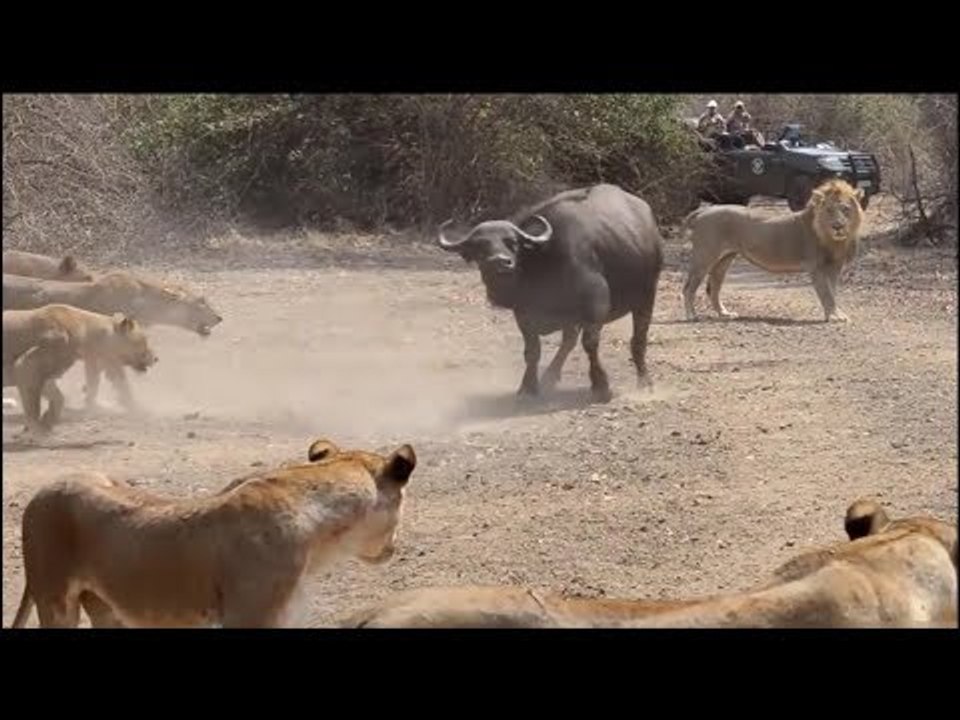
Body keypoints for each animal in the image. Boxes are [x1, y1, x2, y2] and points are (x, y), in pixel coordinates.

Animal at [3, 304, 158, 433]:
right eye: (144, 341)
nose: (156, 358)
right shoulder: (27, 366)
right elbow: (34, 405)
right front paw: (37, 430)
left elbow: (60, 398)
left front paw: (47, 421)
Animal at [4, 270, 221, 409]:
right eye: (201, 301)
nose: (220, 318)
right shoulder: (108, 352)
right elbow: (117, 380)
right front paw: (133, 405)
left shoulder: (97, 353)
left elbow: (95, 378)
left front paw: (90, 399)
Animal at [438, 183, 664, 402]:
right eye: (480, 246)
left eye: (512, 243)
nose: (500, 262)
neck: (543, 261)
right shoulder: (524, 314)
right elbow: (532, 351)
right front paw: (528, 387)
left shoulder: (595, 305)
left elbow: (590, 343)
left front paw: (601, 387)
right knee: (568, 342)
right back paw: (549, 378)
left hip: (646, 296)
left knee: (638, 340)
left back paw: (645, 383)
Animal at [681, 178, 865, 323]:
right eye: (829, 210)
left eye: (846, 209)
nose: (838, 226)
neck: (833, 240)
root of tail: (703, 210)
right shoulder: (816, 267)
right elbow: (826, 294)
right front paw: (834, 317)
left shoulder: (834, 267)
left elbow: (832, 293)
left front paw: (833, 315)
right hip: (704, 257)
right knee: (688, 288)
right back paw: (691, 316)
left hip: (724, 259)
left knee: (713, 288)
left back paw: (724, 314)